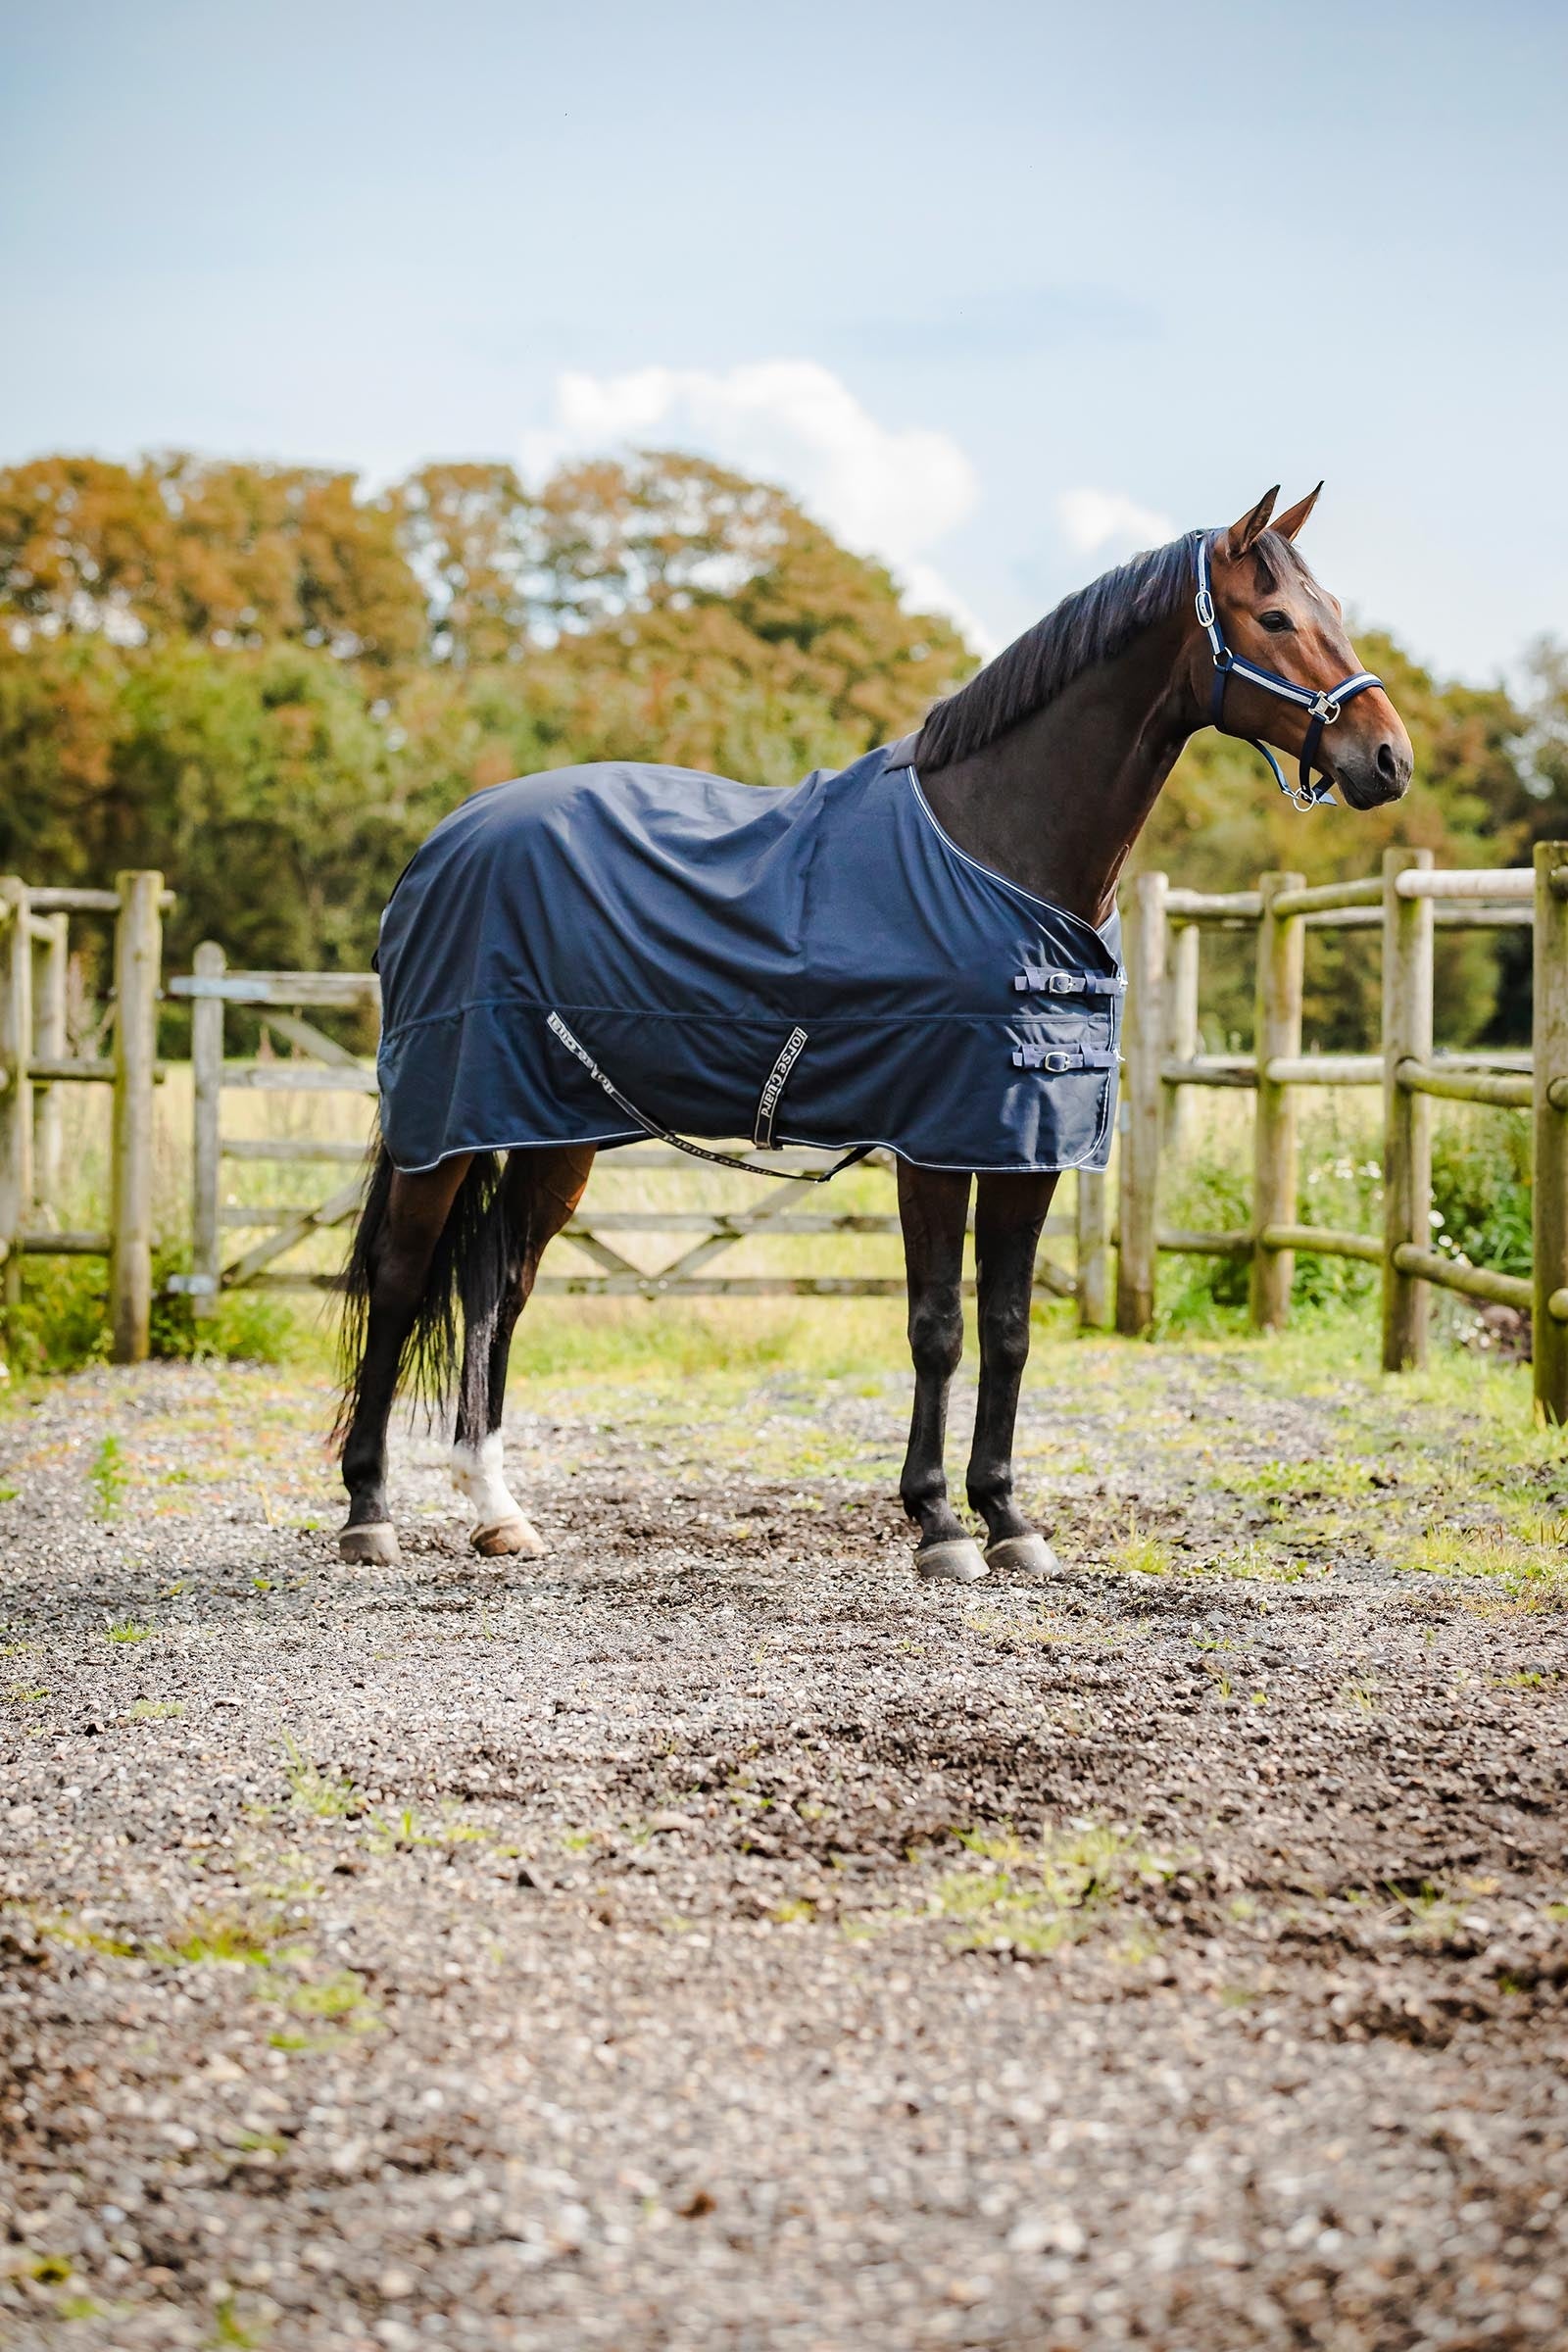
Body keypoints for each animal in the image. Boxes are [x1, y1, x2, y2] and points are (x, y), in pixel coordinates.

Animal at [334, 486, 1412, 1581]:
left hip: (553, 1134)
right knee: (401, 1277)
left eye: (1331, 609)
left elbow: (1009, 1327)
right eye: (1273, 618)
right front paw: (938, 1523)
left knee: (497, 1285)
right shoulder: (933, 1140)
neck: (999, 846)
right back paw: (368, 1512)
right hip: (443, 1131)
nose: (1388, 757)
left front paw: (1008, 1517)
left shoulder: (1029, 1143)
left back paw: (496, 1508)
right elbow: (937, 1326)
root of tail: (444, 841)